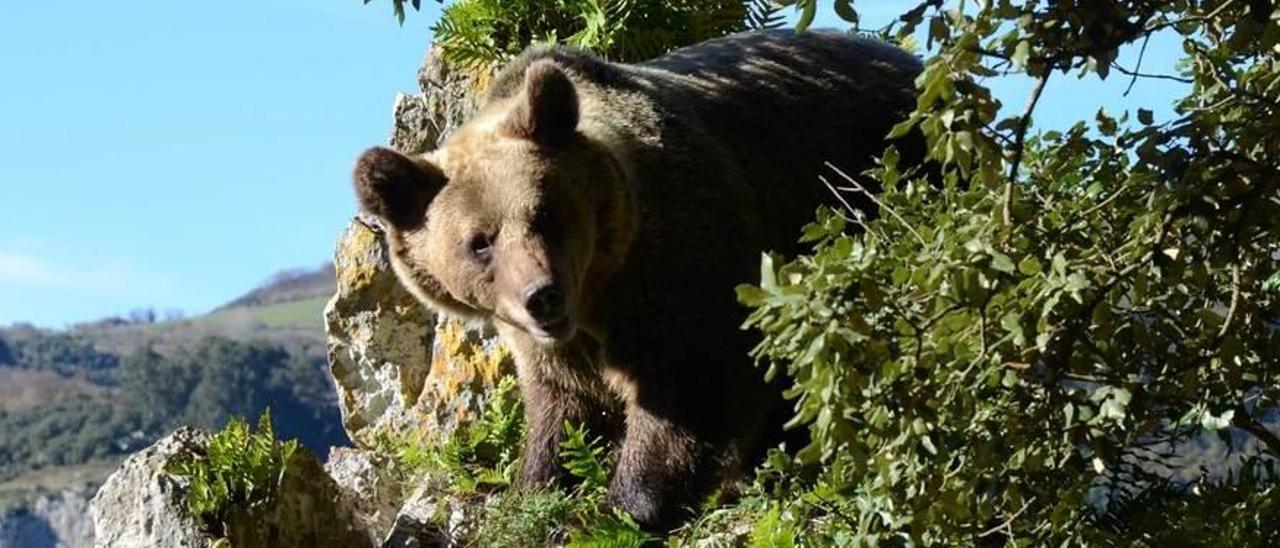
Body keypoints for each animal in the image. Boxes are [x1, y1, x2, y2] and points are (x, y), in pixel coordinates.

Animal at [353, 31, 921, 530]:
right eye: (480, 241)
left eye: (545, 214)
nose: (542, 296)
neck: (600, 291)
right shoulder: (550, 346)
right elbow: (563, 410)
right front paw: (535, 489)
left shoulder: (680, 267)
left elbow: (689, 387)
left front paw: (617, 507)